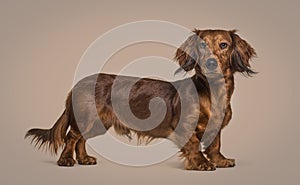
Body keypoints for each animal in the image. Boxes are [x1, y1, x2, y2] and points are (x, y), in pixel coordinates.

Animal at [25, 29, 255, 171]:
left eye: (224, 45)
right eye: (201, 46)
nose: (210, 63)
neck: (212, 92)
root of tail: (76, 85)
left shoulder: (216, 127)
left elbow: (215, 145)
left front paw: (221, 161)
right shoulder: (183, 126)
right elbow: (193, 144)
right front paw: (201, 163)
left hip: (99, 123)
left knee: (81, 139)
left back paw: (84, 159)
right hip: (87, 117)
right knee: (71, 137)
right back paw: (66, 160)